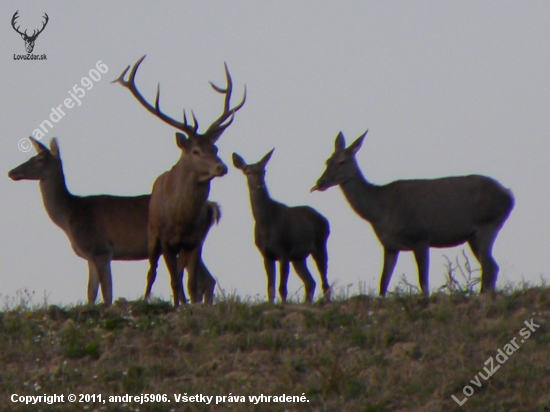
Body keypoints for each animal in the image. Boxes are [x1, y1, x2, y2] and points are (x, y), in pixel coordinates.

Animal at [7, 138, 220, 306]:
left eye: (40, 159)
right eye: (32, 157)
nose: (12, 172)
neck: (69, 215)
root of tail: (211, 206)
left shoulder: (100, 249)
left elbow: (107, 295)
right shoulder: (91, 256)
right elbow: (91, 294)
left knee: (204, 281)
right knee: (208, 280)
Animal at [114, 54, 246, 306]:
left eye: (215, 148)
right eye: (195, 150)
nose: (221, 167)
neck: (181, 219)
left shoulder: (195, 242)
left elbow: (191, 285)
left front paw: (190, 305)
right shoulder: (165, 240)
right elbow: (174, 282)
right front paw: (179, 306)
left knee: (195, 278)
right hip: (152, 235)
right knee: (152, 272)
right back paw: (148, 298)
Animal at [234, 150, 332, 304]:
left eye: (264, 171)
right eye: (247, 172)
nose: (259, 183)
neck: (266, 225)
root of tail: (326, 220)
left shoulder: (284, 250)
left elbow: (282, 288)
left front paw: (284, 304)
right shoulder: (266, 254)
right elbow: (270, 288)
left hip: (320, 244)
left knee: (324, 280)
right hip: (298, 257)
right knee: (310, 281)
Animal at [312, 131, 516, 296]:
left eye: (342, 162)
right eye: (327, 161)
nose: (320, 182)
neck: (378, 210)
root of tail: (509, 195)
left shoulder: (421, 236)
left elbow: (423, 280)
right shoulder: (389, 245)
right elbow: (383, 282)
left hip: (488, 223)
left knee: (489, 266)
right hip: (473, 236)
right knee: (491, 266)